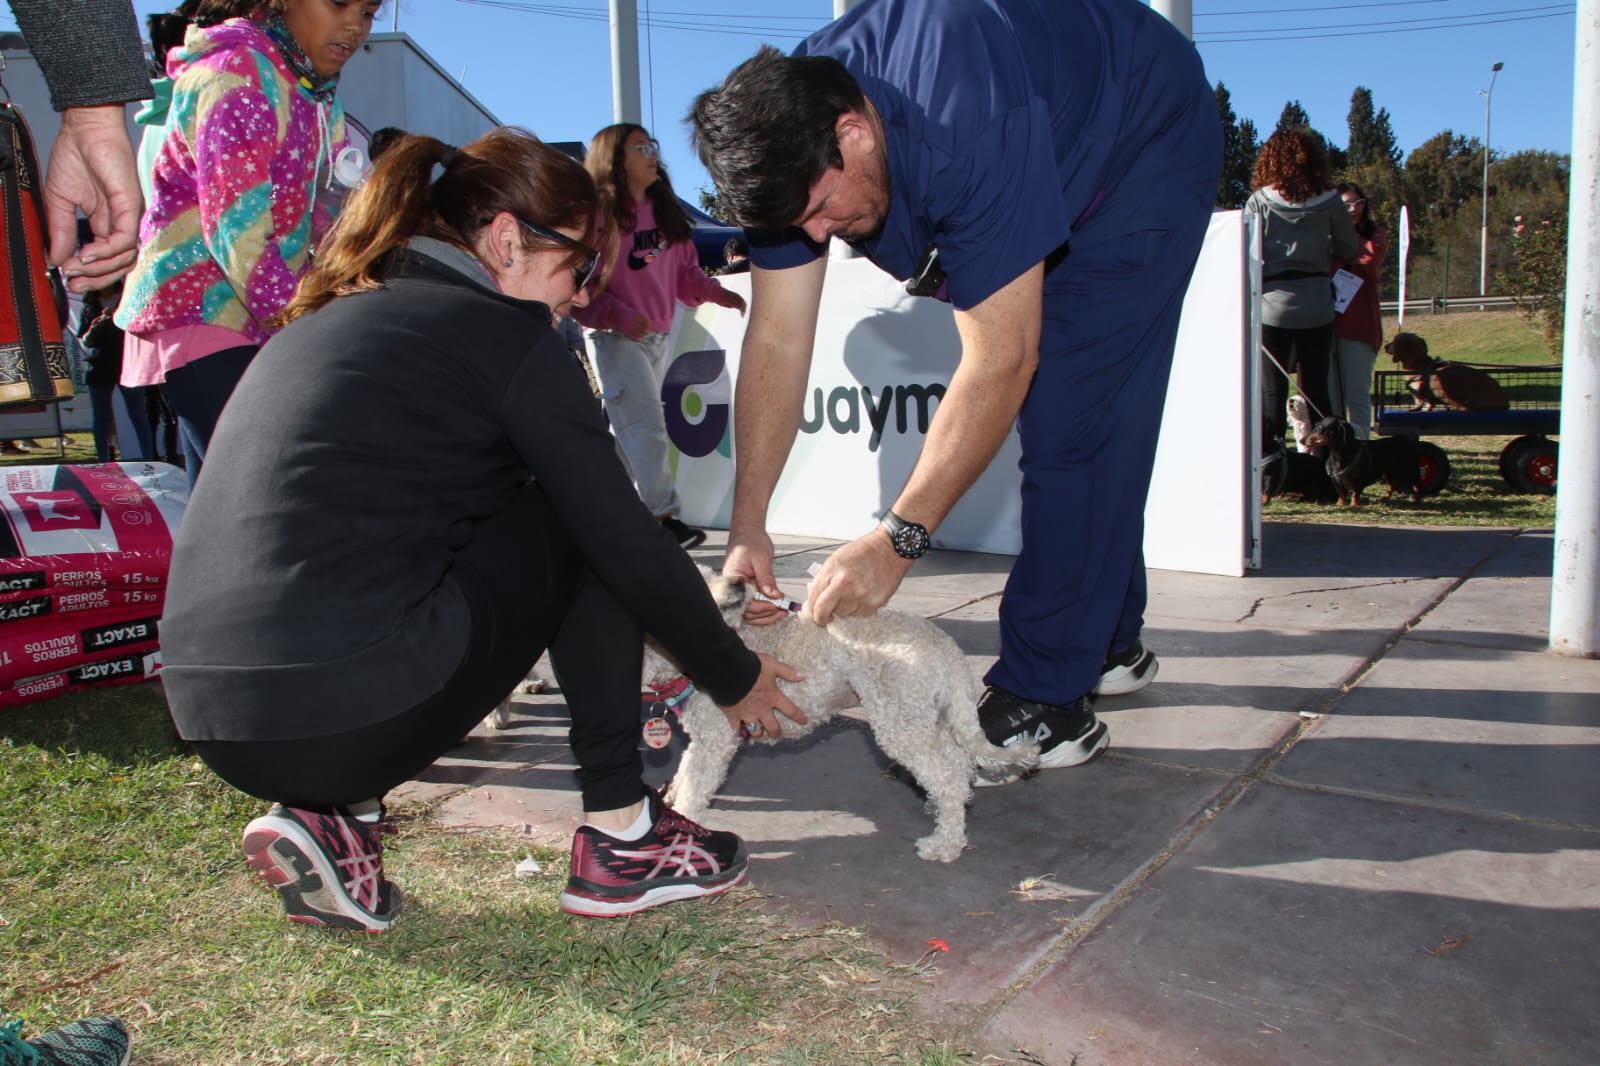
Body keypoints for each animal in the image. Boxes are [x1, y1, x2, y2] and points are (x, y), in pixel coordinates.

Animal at [643, 569, 1043, 857]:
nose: (740, 580)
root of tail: (945, 644)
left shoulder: (714, 742)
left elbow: (694, 791)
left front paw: (686, 831)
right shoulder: (700, 743)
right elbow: (683, 777)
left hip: (900, 720)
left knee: (948, 778)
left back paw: (944, 845)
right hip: (929, 714)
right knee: (958, 768)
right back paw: (944, 815)